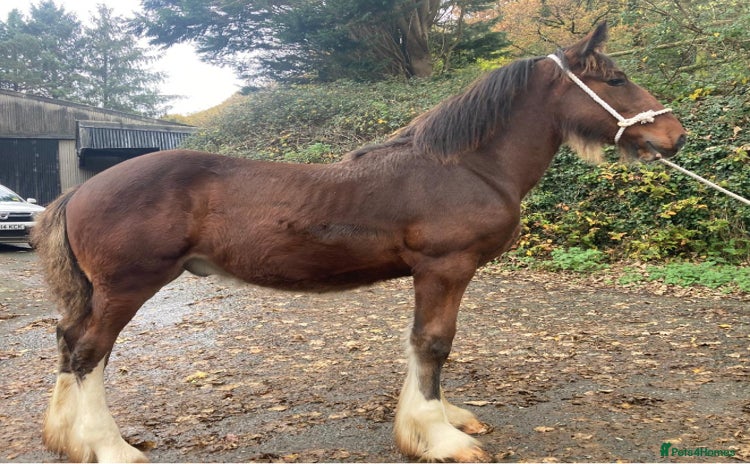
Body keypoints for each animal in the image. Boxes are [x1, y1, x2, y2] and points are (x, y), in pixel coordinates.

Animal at [33, 22, 686, 462]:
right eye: (615, 79)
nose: (674, 135)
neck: (465, 165)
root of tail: (81, 190)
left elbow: (424, 347)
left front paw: (446, 419)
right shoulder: (445, 268)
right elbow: (433, 345)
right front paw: (439, 437)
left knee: (69, 343)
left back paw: (67, 439)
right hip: (128, 287)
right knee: (89, 353)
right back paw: (110, 447)